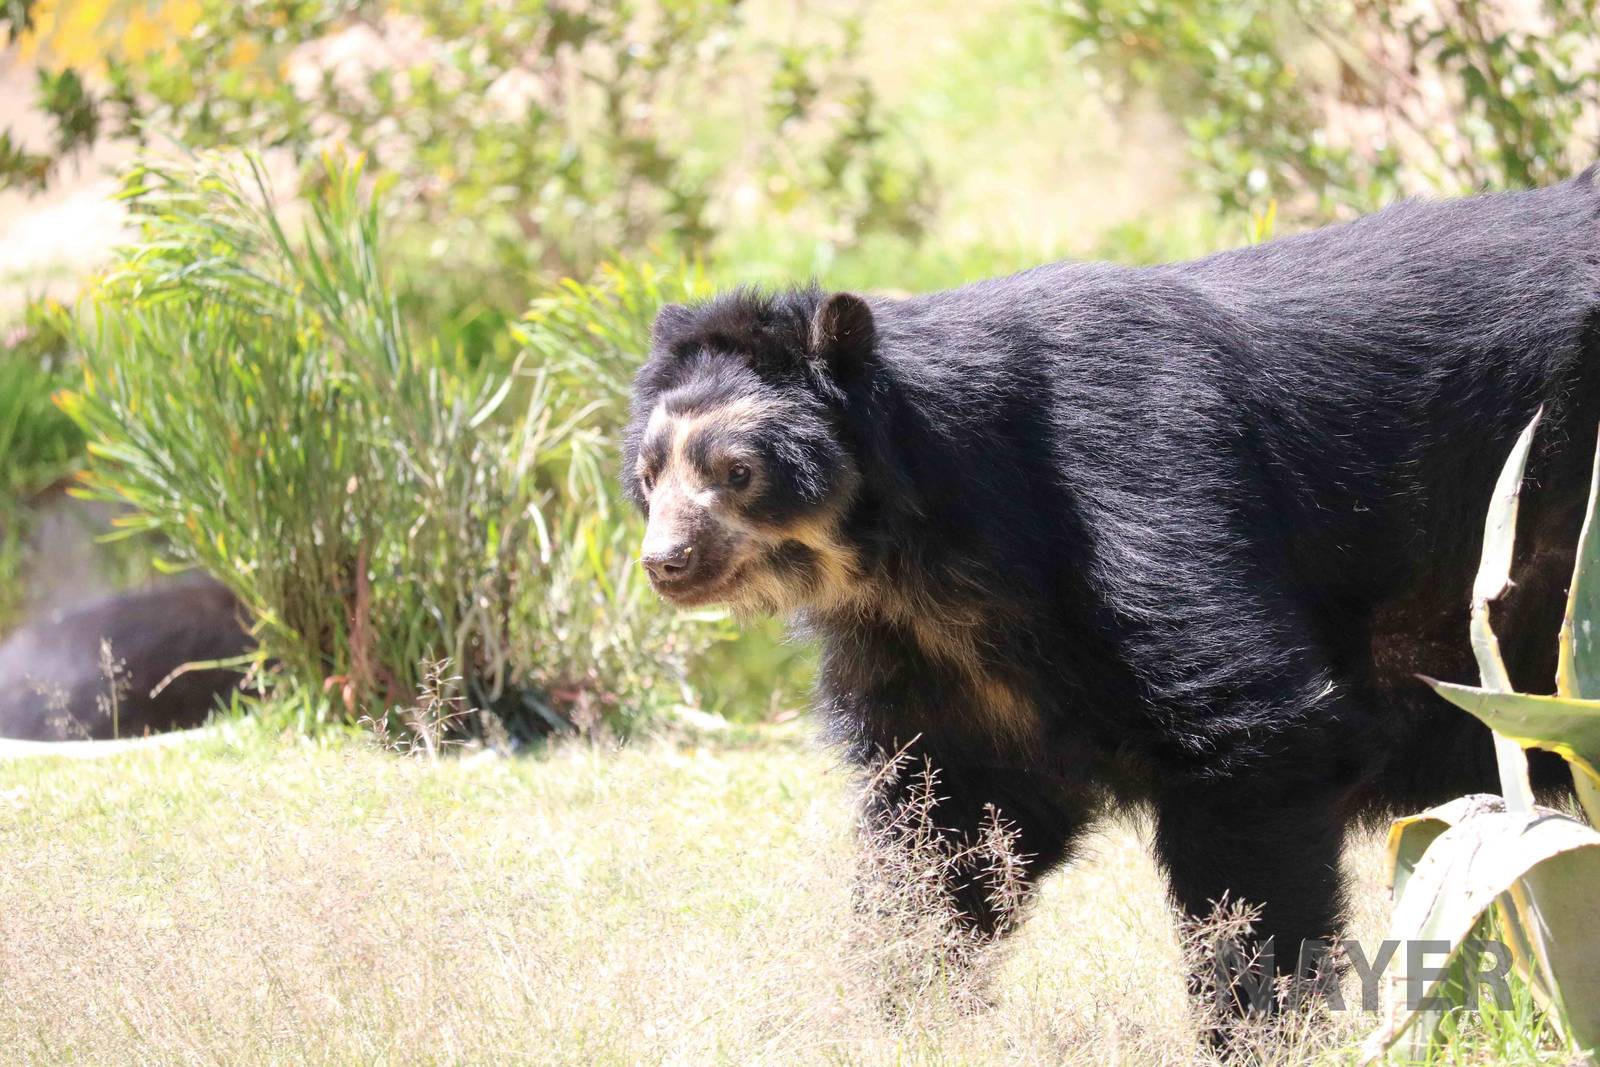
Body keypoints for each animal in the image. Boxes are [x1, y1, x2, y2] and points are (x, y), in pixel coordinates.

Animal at [622, 169, 1600, 1011]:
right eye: (649, 473)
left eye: (736, 471)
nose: (666, 561)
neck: (931, 555)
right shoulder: (928, 654)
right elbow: (950, 825)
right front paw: (902, 997)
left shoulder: (1143, 487)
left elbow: (1256, 741)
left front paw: (1257, 1015)